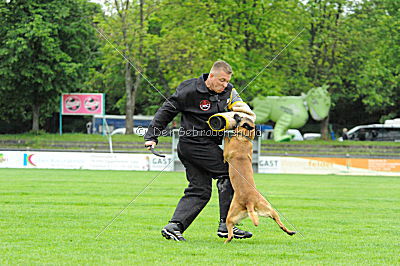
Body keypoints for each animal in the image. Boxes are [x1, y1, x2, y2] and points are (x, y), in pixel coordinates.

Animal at [223, 114, 296, 243]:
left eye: (240, 117)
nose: (235, 114)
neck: (245, 138)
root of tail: (249, 202)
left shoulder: (226, 153)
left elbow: (226, 141)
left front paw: (226, 132)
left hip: (231, 214)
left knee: (230, 230)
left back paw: (227, 240)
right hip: (269, 210)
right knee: (279, 222)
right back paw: (289, 231)